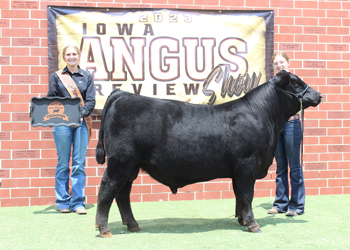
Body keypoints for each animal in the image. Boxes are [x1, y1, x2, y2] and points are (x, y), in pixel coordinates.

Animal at [95, 70, 322, 236]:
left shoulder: (238, 171)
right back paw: (104, 228)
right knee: (107, 188)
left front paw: (241, 220)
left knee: (122, 193)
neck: (262, 115)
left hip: (131, 166)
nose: (319, 95)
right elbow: (247, 195)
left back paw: (132, 225)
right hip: (120, 162)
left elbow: (239, 194)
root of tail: (122, 94)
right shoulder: (247, 165)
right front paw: (252, 224)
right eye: (296, 83)